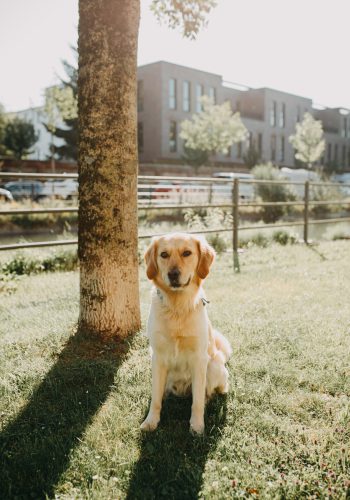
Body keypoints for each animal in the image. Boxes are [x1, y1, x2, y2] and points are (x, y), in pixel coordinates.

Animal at [141, 232, 231, 432]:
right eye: (164, 254)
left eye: (187, 253)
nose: (173, 274)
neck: (177, 307)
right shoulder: (157, 357)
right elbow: (155, 398)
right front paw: (151, 421)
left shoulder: (199, 358)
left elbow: (196, 400)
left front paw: (197, 426)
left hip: (214, 366)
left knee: (215, 389)